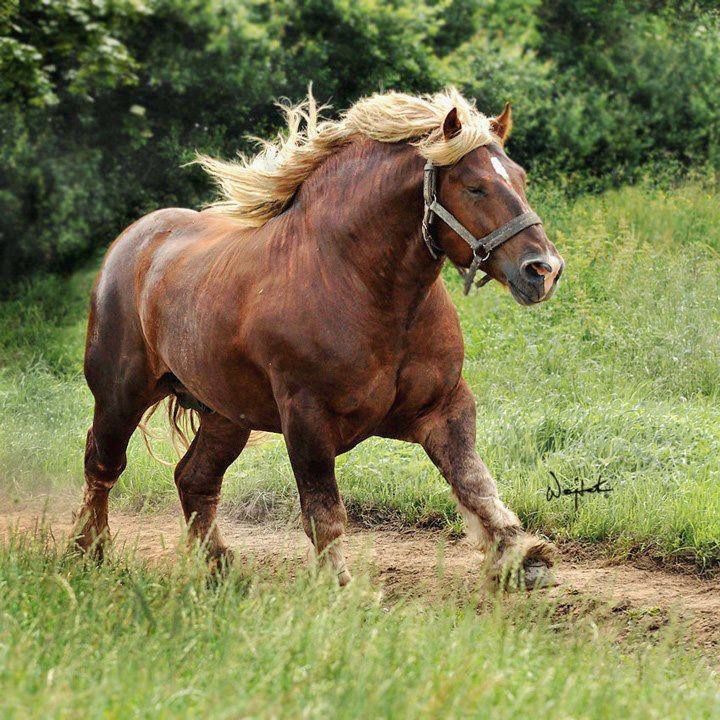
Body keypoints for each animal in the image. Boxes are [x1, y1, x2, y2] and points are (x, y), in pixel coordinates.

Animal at [76, 87, 564, 588]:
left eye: (520, 178)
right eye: (474, 186)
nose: (543, 270)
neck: (362, 285)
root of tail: (132, 242)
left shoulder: (444, 406)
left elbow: (474, 483)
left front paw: (522, 555)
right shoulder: (306, 419)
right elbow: (324, 510)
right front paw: (343, 588)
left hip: (225, 414)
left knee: (193, 478)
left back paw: (220, 567)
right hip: (121, 395)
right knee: (103, 465)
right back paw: (90, 552)